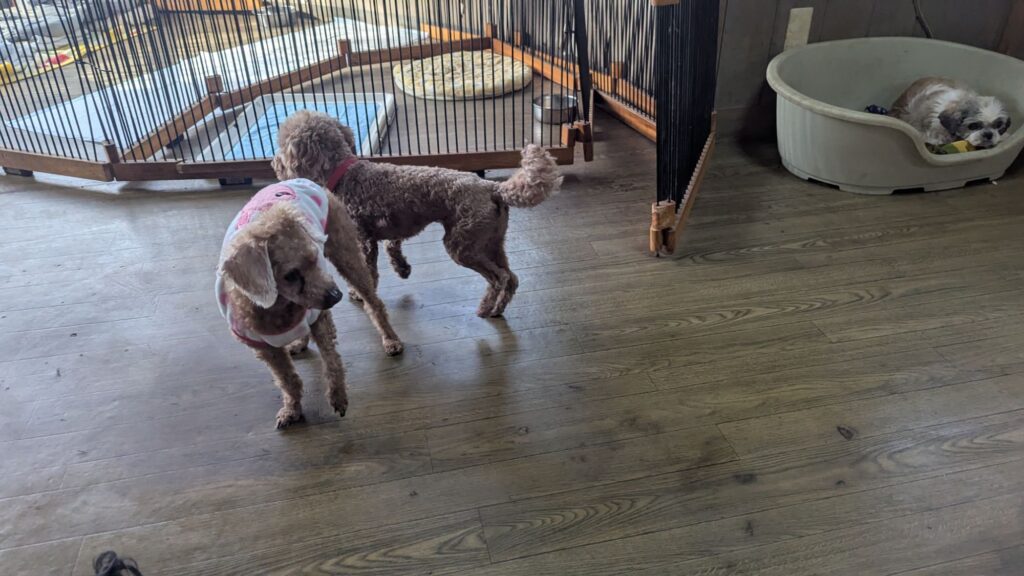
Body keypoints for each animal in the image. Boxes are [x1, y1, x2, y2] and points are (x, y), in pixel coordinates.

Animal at [216, 179, 403, 429]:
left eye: (317, 258)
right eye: (291, 275)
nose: (336, 296)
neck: (280, 306)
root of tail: (300, 180)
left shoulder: (320, 317)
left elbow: (332, 361)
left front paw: (338, 397)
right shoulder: (264, 347)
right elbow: (287, 380)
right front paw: (291, 409)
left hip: (346, 253)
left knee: (374, 303)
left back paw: (390, 339)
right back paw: (300, 343)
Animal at [271, 110, 562, 318]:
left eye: (283, 146)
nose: (274, 163)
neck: (346, 173)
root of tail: (492, 188)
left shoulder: (363, 240)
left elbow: (368, 271)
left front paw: (359, 293)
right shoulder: (393, 227)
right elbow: (393, 247)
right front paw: (403, 269)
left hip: (463, 245)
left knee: (499, 279)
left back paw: (485, 308)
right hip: (492, 241)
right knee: (511, 278)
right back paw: (498, 309)